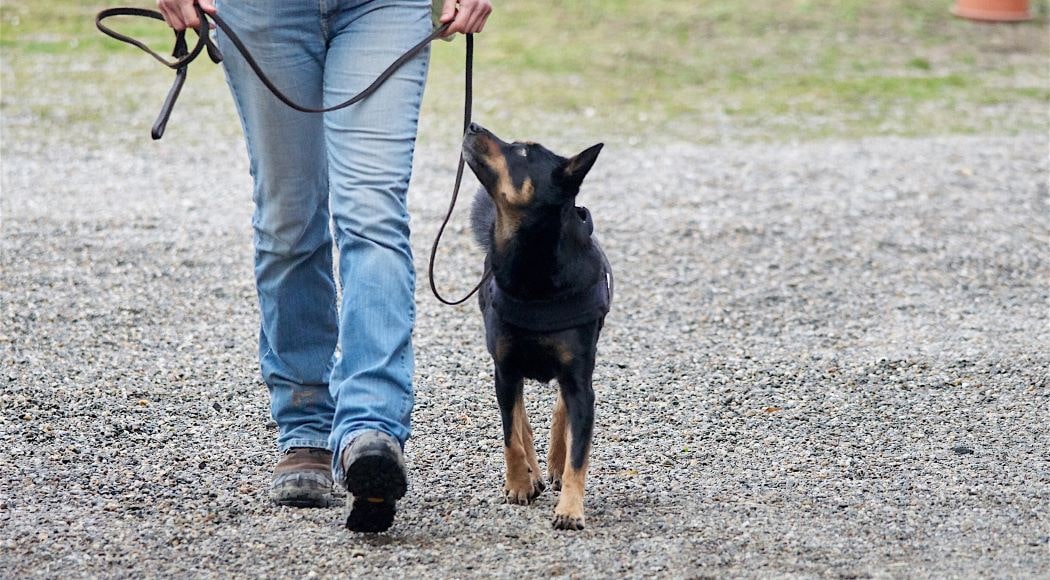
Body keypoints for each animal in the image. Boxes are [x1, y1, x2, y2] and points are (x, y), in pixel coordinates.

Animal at [464, 122, 613, 529]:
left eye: (523, 153)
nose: (473, 125)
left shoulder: (580, 380)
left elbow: (579, 451)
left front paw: (570, 508)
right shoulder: (504, 367)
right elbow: (511, 434)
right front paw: (518, 482)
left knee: (561, 410)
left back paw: (555, 466)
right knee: (520, 420)